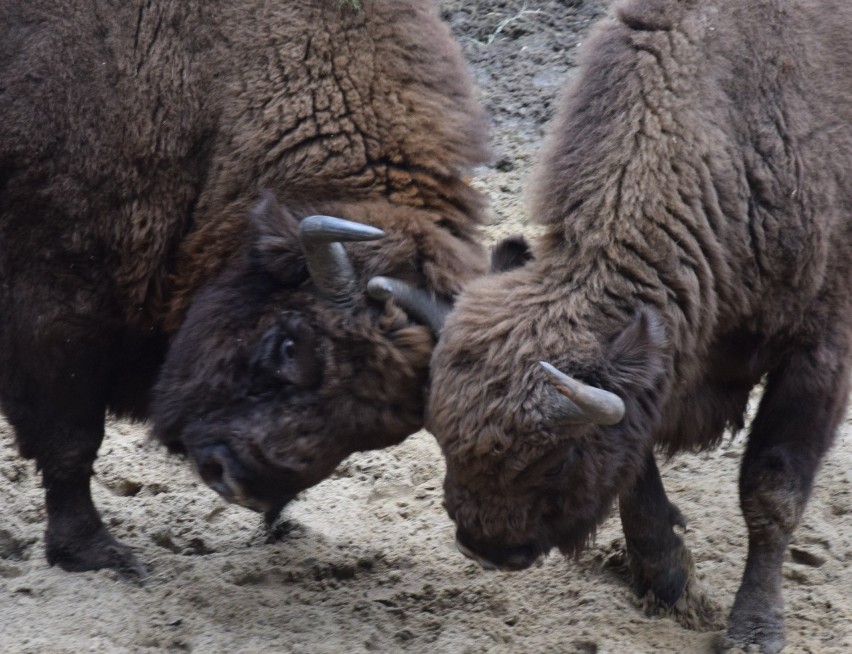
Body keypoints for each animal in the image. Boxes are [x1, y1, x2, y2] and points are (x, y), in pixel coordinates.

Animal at [0, 1, 490, 584]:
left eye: (383, 428)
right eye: (287, 345)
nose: (235, 480)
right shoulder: (56, 305)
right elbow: (72, 441)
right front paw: (96, 554)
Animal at [430, 1, 852, 654]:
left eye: (555, 460)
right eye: (443, 439)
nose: (485, 548)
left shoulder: (818, 352)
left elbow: (772, 490)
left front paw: (754, 628)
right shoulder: (657, 367)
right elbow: (635, 470)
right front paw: (668, 579)